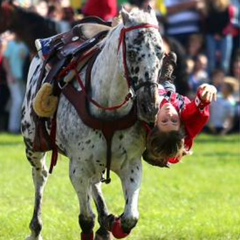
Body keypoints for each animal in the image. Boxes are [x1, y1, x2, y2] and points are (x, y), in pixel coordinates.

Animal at [20, 5, 165, 240]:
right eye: (132, 52)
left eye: (161, 53)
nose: (149, 106)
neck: (108, 107)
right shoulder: (78, 168)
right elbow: (86, 219)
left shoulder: (131, 165)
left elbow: (129, 218)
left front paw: (111, 222)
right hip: (33, 147)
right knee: (40, 178)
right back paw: (36, 228)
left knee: (95, 183)